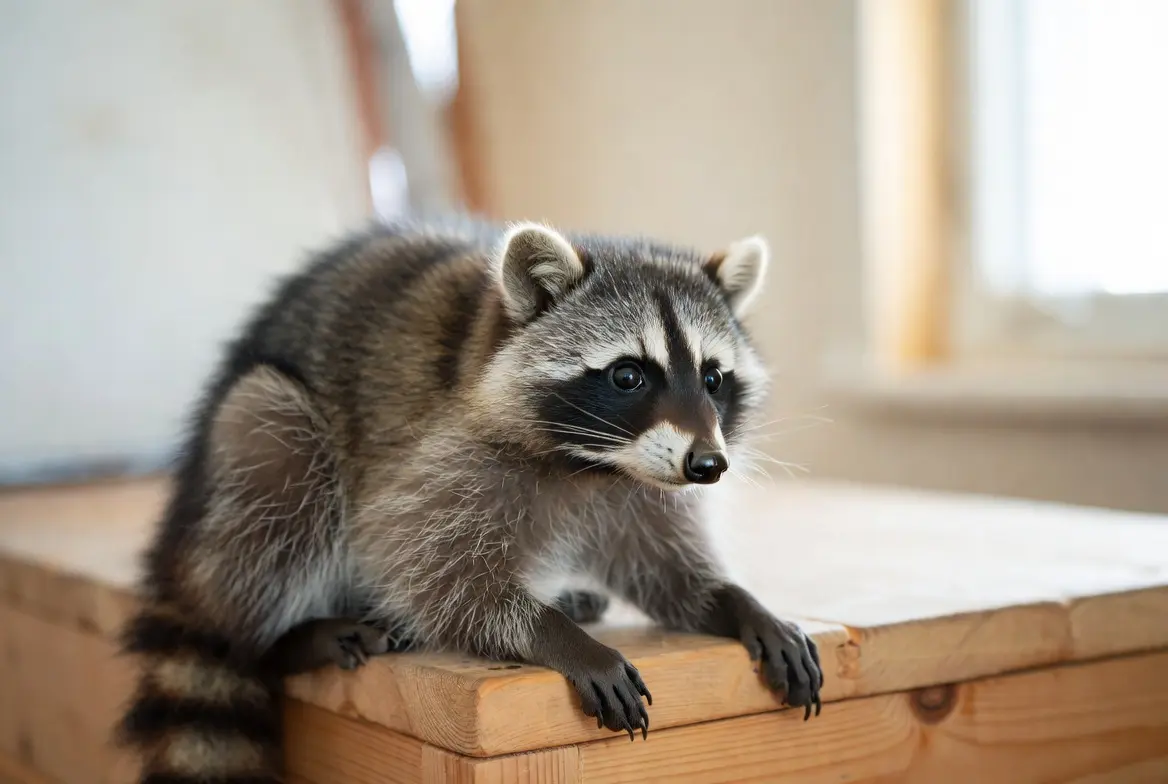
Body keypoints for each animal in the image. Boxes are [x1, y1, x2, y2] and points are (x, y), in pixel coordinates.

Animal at [117, 218, 822, 783]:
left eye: (713, 377)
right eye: (628, 374)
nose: (709, 466)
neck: (596, 464)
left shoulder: (640, 487)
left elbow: (664, 568)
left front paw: (736, 602)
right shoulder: (437, 451)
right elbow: (421, 564)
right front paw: (551, 633)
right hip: (252, 445)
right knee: (277, 457)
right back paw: (280, 637)